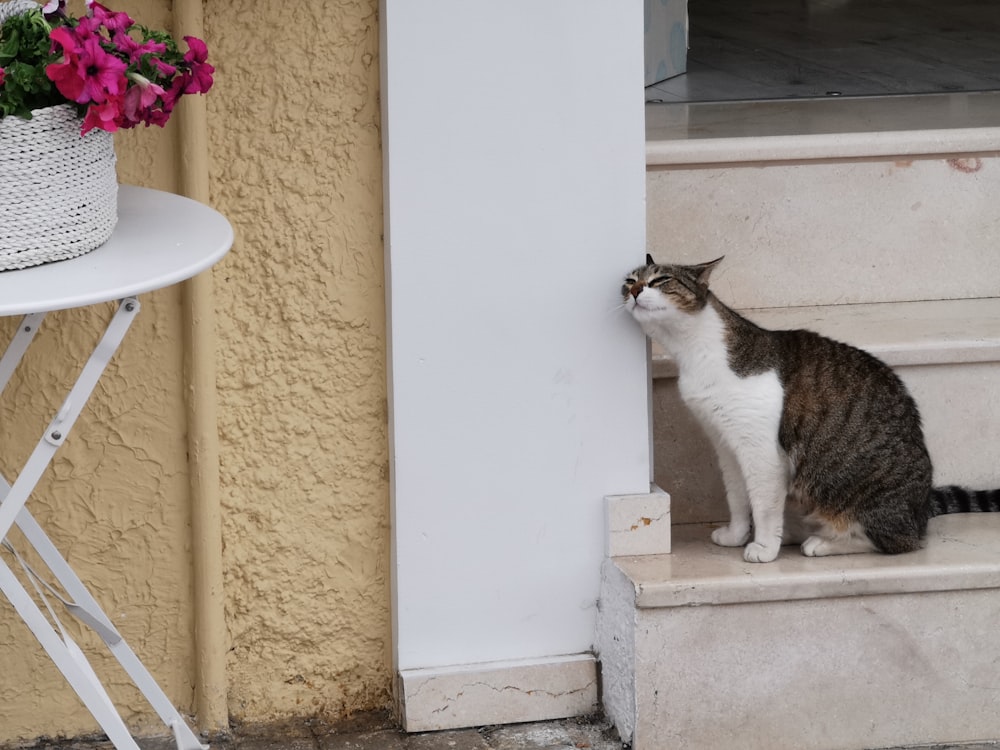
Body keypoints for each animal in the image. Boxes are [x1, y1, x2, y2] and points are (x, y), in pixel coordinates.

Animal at [624, 254, 1000, 564]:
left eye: (660, 280)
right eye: (630, 279)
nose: (634, 291)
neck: (694, 351)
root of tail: (920, 508)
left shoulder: (760, 450)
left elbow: (762, 503)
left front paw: (763, 547)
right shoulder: (726, 443)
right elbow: (738, 497)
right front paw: (736, 534)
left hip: (854, 494)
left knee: (897, 542)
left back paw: (822, 542)